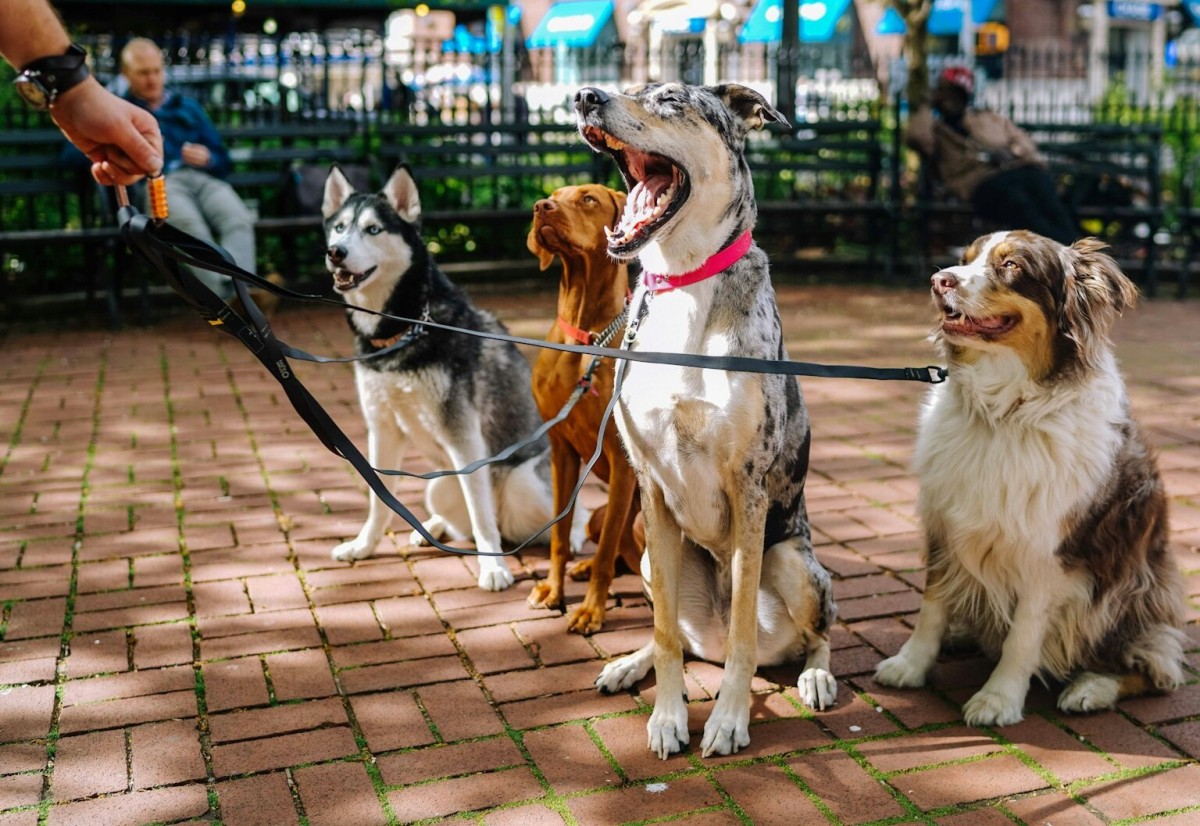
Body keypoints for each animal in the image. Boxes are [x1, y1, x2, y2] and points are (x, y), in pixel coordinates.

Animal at [523, 182, 643, 633]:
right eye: (553, 195)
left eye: (588, 198)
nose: (541, 207)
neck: (585, 336)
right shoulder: (561, 450)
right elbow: (559, 536)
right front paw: (553, 590)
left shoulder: (622, 461)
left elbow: (607, 553)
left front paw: (592, 610)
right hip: (596, 514)